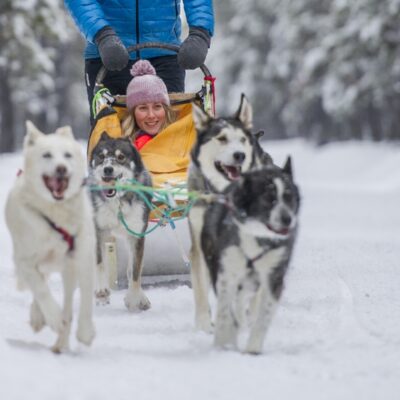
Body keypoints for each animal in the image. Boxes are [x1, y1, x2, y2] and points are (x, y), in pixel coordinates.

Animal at [5, 122, 95, 354]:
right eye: (47, 155)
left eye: (67, 155)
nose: (61, 168)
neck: (57, 218)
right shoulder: (25, 261)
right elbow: (41, 291)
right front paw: (52, 317)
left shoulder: (83, 260)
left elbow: (86, 300)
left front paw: (85, 332)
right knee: (40, 287)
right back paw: (43, 319)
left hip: (68, 271)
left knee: (69, 306)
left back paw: (61, 342)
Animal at [89, 133, 152, 310]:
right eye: (101, 156)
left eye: (121, 157)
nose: (108, 169)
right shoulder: (98, 231)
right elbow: (99, 263)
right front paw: (101, 290)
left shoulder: (137, 234)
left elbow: (135, 270)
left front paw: (135, 298)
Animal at [189, 94, 258, 332]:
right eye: (221, 138)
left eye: (242, 139)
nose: (240, 155)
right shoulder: (201, 244)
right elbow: (201, 289)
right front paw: (203, 324)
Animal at [203, 159, 300, 354]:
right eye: (269, 199)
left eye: (289, 197)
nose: (287, 219)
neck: (258, 237)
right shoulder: (226, 274)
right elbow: (225, 312)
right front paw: (223, 342)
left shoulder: (274, 276)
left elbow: (263, 316)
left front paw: (253, 348)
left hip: (252, 282)